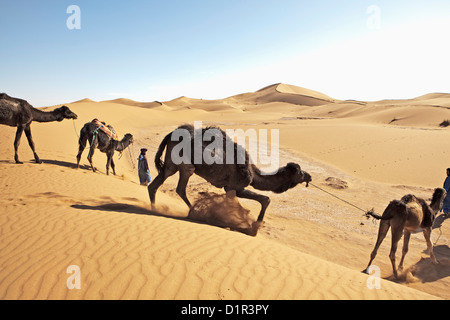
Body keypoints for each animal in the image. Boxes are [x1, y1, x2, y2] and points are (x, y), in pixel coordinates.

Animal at [149, 124, 312, 231]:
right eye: (300, 173)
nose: (309, 177)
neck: (252, 172)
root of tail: (171, 133)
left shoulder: (230, 188)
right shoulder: (236, 187)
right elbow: (265, 199)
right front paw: (253, 226)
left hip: (171, 163)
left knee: (157, 182)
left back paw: (154, 208)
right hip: (185, 163)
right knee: (181, 187)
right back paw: (194, 212)